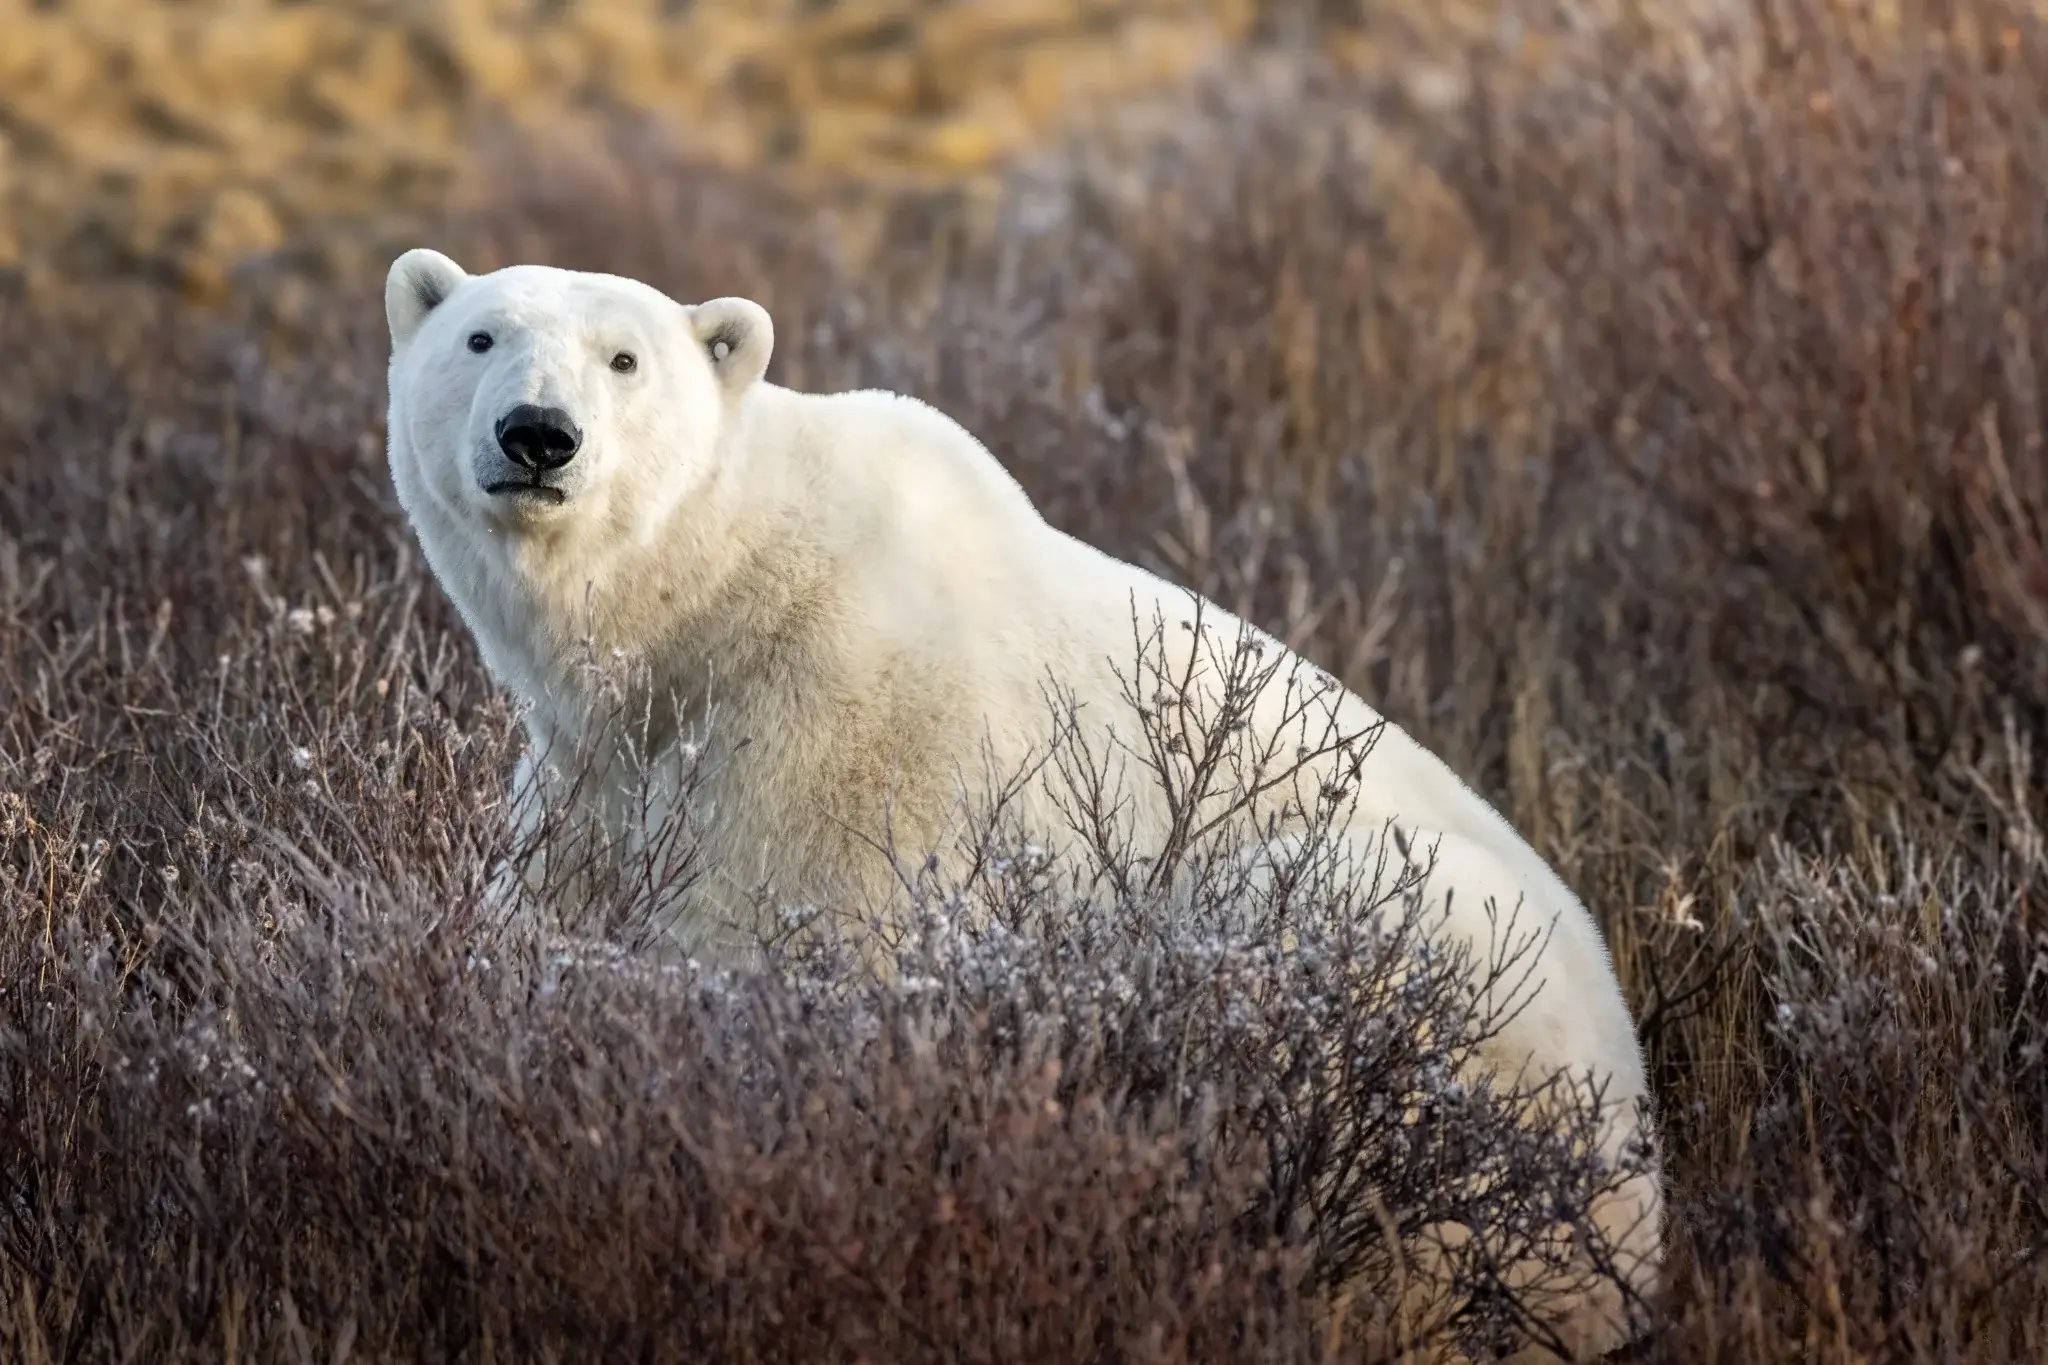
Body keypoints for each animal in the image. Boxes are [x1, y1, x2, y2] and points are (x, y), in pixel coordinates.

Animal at [382, 248, 1664, 1359]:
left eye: (624, 359)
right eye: (481, 334)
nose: (536, 434)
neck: (713, 605)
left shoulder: (839, 746)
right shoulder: (588, 783)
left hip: (1440, 955)